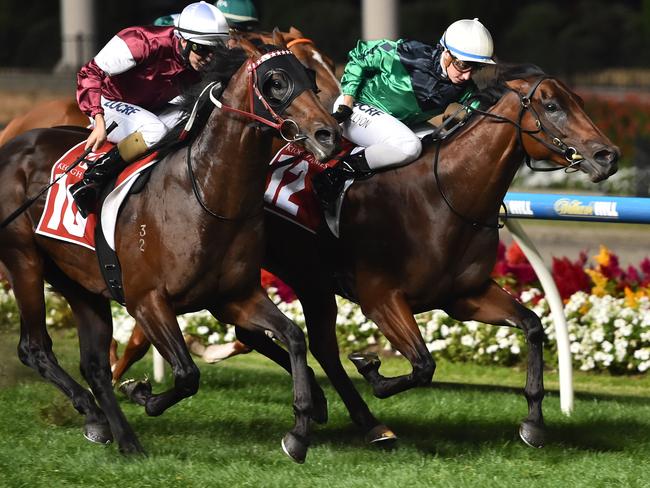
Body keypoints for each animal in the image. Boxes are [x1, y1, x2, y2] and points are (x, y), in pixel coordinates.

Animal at [0, 34, 342, 462]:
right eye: (276, 82)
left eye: (310, 77)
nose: (329, 134)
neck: (206, 195)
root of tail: (13, 143)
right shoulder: (146, 300)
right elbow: (187, 374)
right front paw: (142, 393)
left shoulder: (235, 296)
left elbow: (294, 337)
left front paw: (299, 430)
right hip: (24, 261)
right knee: (34, 348)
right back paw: (104, 421)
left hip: (78, 283)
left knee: (93, 365)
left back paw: (113, 430)